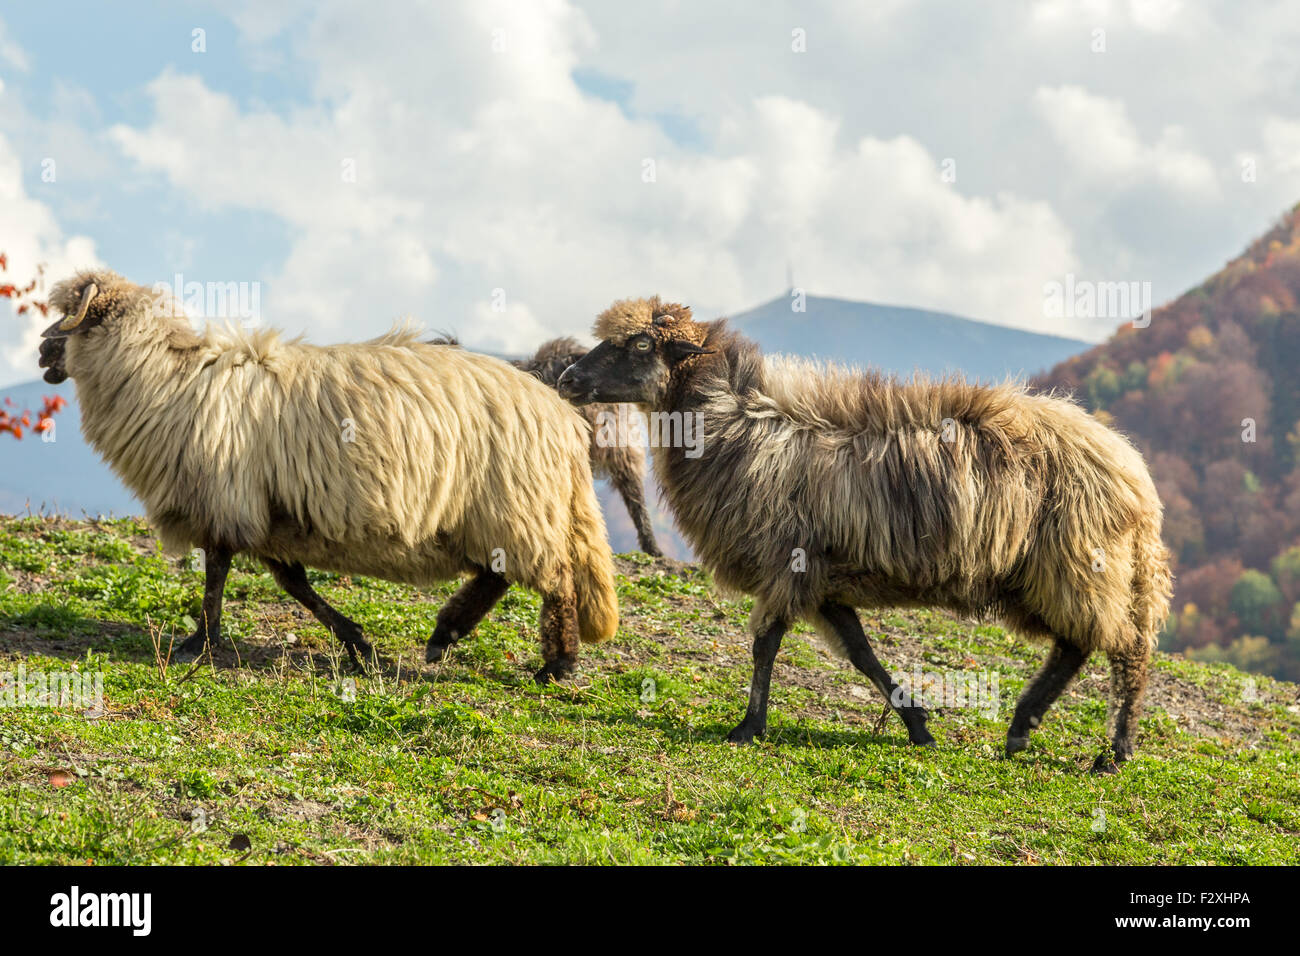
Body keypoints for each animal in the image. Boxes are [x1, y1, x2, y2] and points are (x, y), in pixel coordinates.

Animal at [40, 270, 618, 681]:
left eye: (70, 314)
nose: (43, 348)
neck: (168, 377)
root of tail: (559, 413)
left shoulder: (224, 498)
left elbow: (217, 572)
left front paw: (196, 644)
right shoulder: (270, 512)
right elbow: (292, 582)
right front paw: (357, 642)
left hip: (516, 504)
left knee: (553, 579)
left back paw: (557, 665)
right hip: (500, 511)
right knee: (498, 574)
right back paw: (447, 633)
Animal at [564, 295, 1175, 775]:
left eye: (641, 343)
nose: (570, 380)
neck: (733, 425)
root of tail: (1133, 472)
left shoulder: (789, 563)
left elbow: (765, 644)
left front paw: (747, 726)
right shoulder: (824, 579)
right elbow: (861, 653)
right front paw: (917, 724)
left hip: (1080, 562)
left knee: (1125, 649)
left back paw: (1113, 753)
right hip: (1055, 573)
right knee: (1077, 644)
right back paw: (1022, 729)